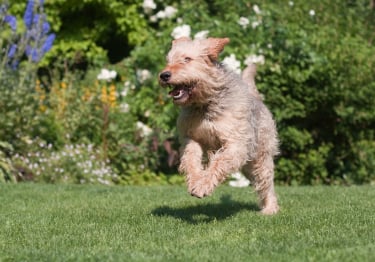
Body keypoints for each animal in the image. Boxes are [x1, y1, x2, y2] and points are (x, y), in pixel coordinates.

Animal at [159, 36, 280, 214]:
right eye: (169, 60)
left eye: (187, 59)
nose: (164, 75)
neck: (205, 105)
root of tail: (255, 96)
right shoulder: (192, 138)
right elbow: (191, 160)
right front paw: (195, 180)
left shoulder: (235, 144)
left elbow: (218, 163)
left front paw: (202, 186)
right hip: (248, 166)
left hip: (261, 157)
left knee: (266, 182)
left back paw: (270, 209)